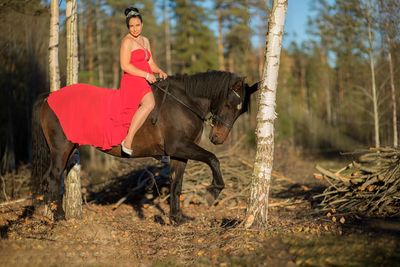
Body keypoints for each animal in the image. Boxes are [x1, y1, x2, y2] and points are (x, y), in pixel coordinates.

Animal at [30, 70, 256, 224]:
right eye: (229, 105)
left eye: (240, 111)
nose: (218, 138)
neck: (182, 103)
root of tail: (49, 97)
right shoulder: (180, 146)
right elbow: (212, 159)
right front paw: (213, 192)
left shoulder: (179, 154)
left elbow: (176, 184)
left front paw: (177, 218)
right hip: (61, 148)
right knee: (54, 177)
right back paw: (59, 216)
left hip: (67, 150)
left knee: (50, 179)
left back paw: (50, 212)